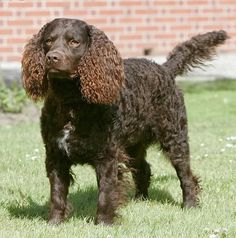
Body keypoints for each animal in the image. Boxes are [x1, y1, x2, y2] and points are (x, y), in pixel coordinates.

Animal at [21, 18, 228, 225]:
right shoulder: (55, 155)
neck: (72, 102)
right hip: (133, 144)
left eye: (74, 42)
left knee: (186, 175)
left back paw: (190, 204)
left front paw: (103, 224)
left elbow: (105, 193)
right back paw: (140, 200)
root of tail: (164, 69)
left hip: (175, 137)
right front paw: (54, 223)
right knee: (144, 169)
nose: (52, 58)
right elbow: (57, 193)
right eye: (48, 41)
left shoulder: (107, 156)